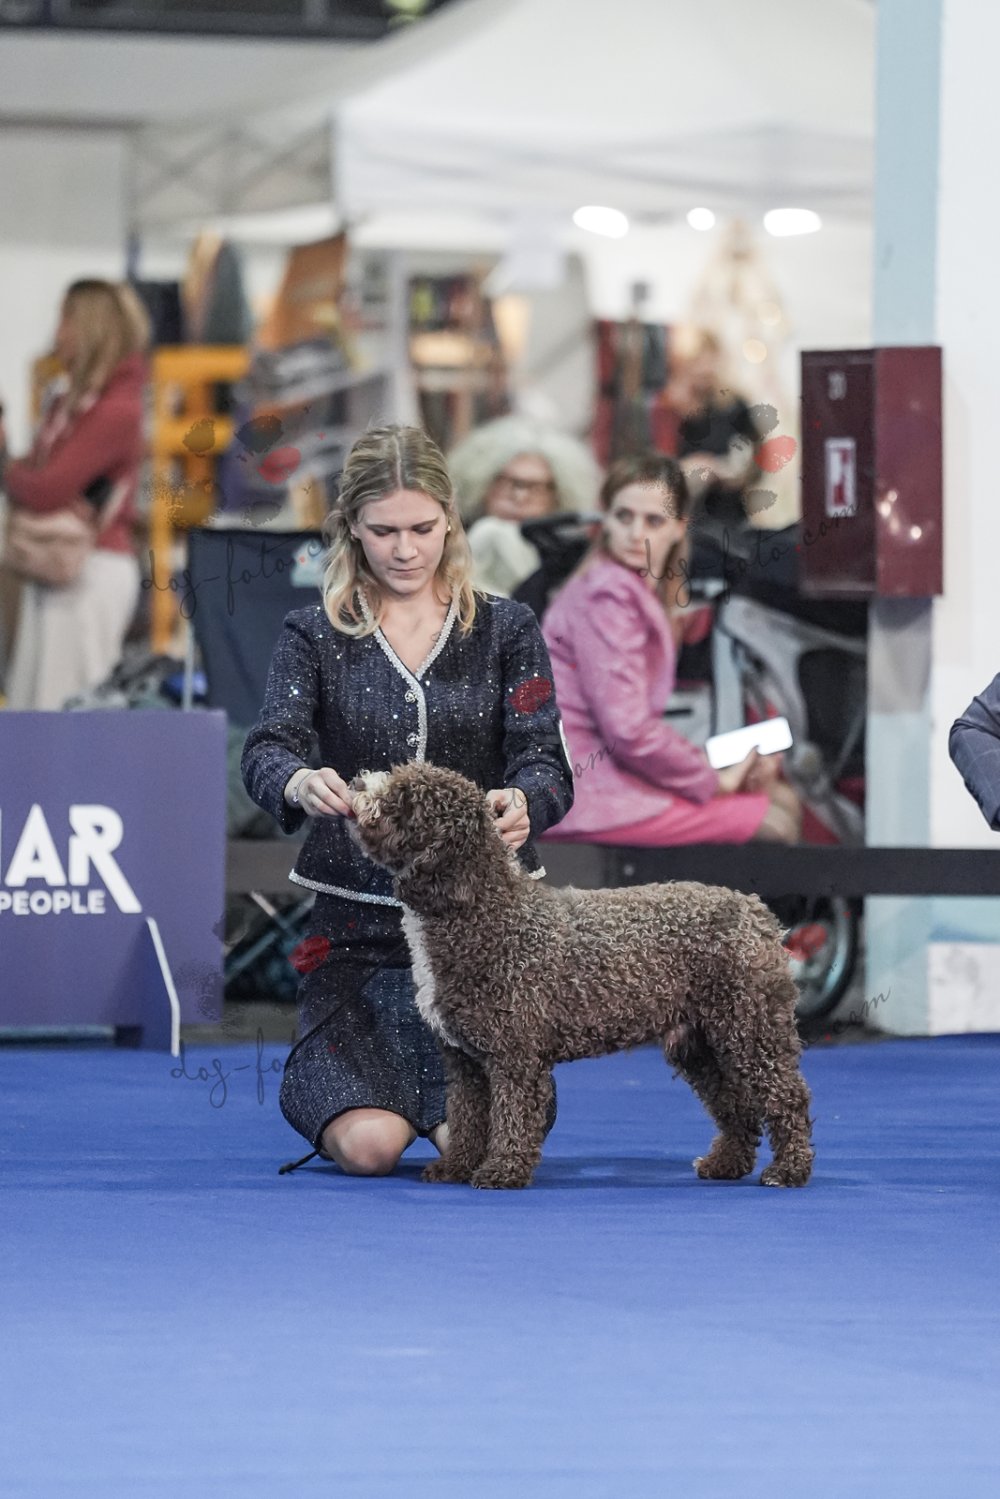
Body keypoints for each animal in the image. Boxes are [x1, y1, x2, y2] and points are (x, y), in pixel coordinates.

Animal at [348, 762, 814, 1190]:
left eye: (404, 801)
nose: (355, 782)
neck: (485, 912)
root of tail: (755, 910)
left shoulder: (514, 1056)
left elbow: (512, 1116)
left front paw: (503, 1170)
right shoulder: (464, 1061)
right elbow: (466, 1118)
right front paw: (457, 1166)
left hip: (751, 1030)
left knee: (788, 1097)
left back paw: (789, 1169)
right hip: (699, 1044)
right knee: (736, 1106)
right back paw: (726, 1164)